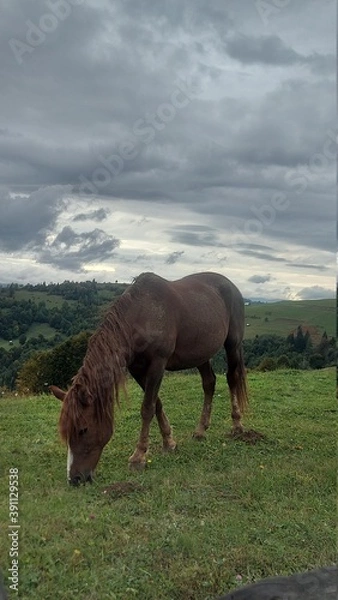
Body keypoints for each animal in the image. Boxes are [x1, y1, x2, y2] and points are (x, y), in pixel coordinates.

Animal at [51, 272, 250, 482]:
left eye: (83, 429)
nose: (75, 479)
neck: (141, 315)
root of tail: (231, 285)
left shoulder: (157, 364)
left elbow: (147, 408)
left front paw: (138, 457)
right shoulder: (137, 369)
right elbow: (156, 404)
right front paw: (169, 442)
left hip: (233, 344)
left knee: (232, 378)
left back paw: (237, 425)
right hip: (201, 353)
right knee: (209, 383)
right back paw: (200, 430)